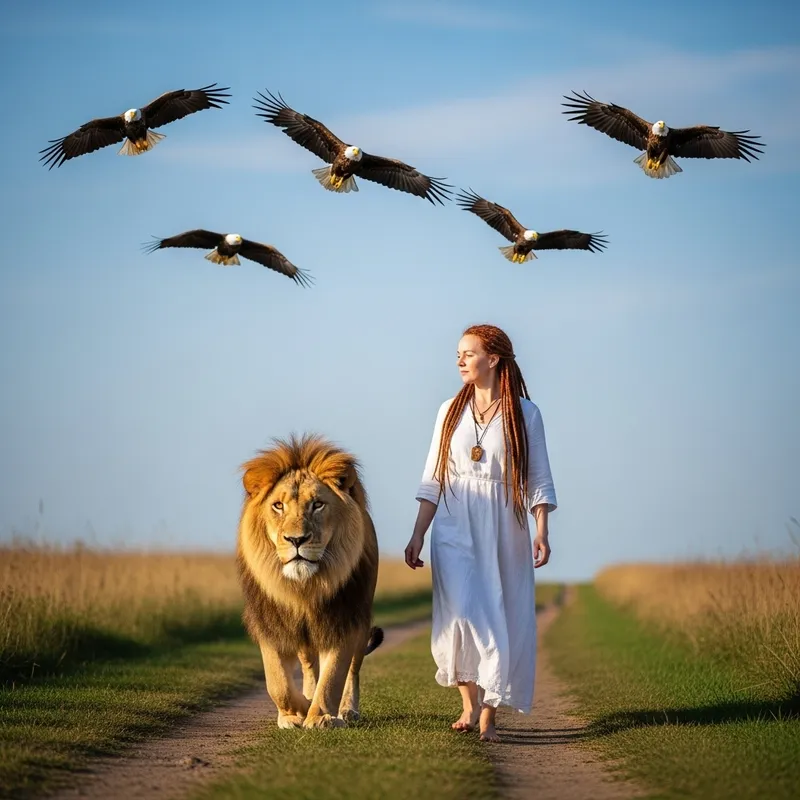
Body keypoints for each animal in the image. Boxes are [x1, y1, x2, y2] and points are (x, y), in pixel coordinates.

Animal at [236, 433, 383, 729]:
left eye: (318, 504)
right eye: (278, 505)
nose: (296, 540)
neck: (304, 588)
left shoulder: (344, 618)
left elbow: (334, 675)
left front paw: (320, 716)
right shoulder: (271, 621)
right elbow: (277, 683)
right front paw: (296, 712)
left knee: (353, 668)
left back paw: (347, 710)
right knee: (309, 664)